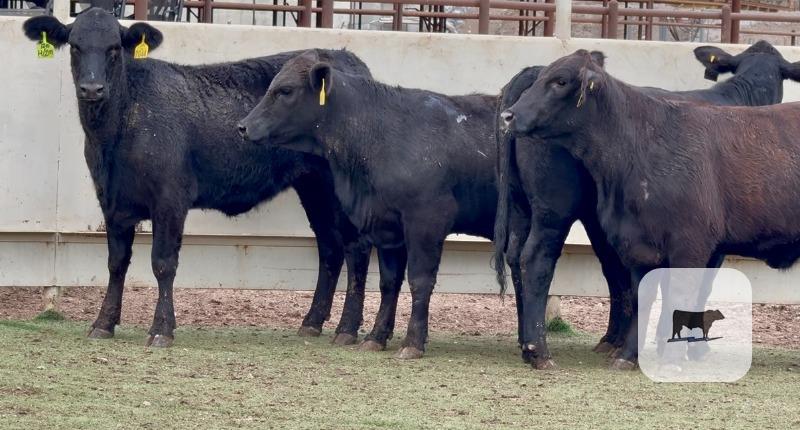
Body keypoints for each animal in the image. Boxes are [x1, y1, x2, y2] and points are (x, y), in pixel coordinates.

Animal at [22, 9, 384, 347]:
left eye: (114, 48)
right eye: (75, 46)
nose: (92, 88)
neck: (121, 126)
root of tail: (346, 58)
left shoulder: (170, 199)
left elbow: (163, 263)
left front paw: (161, 330)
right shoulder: (111, 201)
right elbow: (116, 263)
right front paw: (103, 323)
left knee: (356, 247)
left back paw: (347, 329)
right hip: (313, 186)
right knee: (330, 247)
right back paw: (312, 322)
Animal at [236, 51, 542, 365]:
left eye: (285, 90)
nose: (243, 126)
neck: (382, 133)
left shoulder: (427, 222)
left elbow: (419, 280)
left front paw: (413, 342)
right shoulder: (387, 228)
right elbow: (389, 282)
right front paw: (376, 336)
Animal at [493, 41, 799, 368]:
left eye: (561, 81)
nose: (509, 116)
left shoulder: (688, 245)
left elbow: (674, 292)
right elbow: (657, 293)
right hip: (552, 212)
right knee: (537, 261)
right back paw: (538, 349)